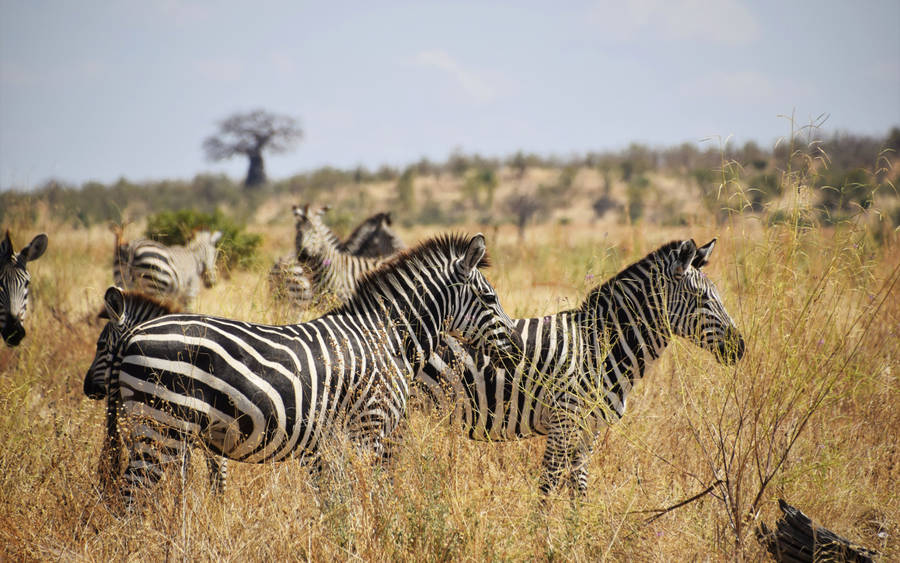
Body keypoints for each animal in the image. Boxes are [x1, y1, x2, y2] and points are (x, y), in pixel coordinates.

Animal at [98, 234, 520, 506]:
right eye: (490, 298)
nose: (517, 350)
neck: (387, 339)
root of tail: (135, 333)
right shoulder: (369, 429)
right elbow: (365, 497)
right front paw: (371, 537)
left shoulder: (327, 445)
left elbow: (331, 502)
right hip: (160, 425)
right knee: (132, 498)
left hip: (153, 427)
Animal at [420, 240, 744, 496]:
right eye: (702, 298)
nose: (739, 348)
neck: (597, 347)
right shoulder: (563, 421)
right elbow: (549, 485)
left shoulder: (590, 431)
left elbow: (579, 488)